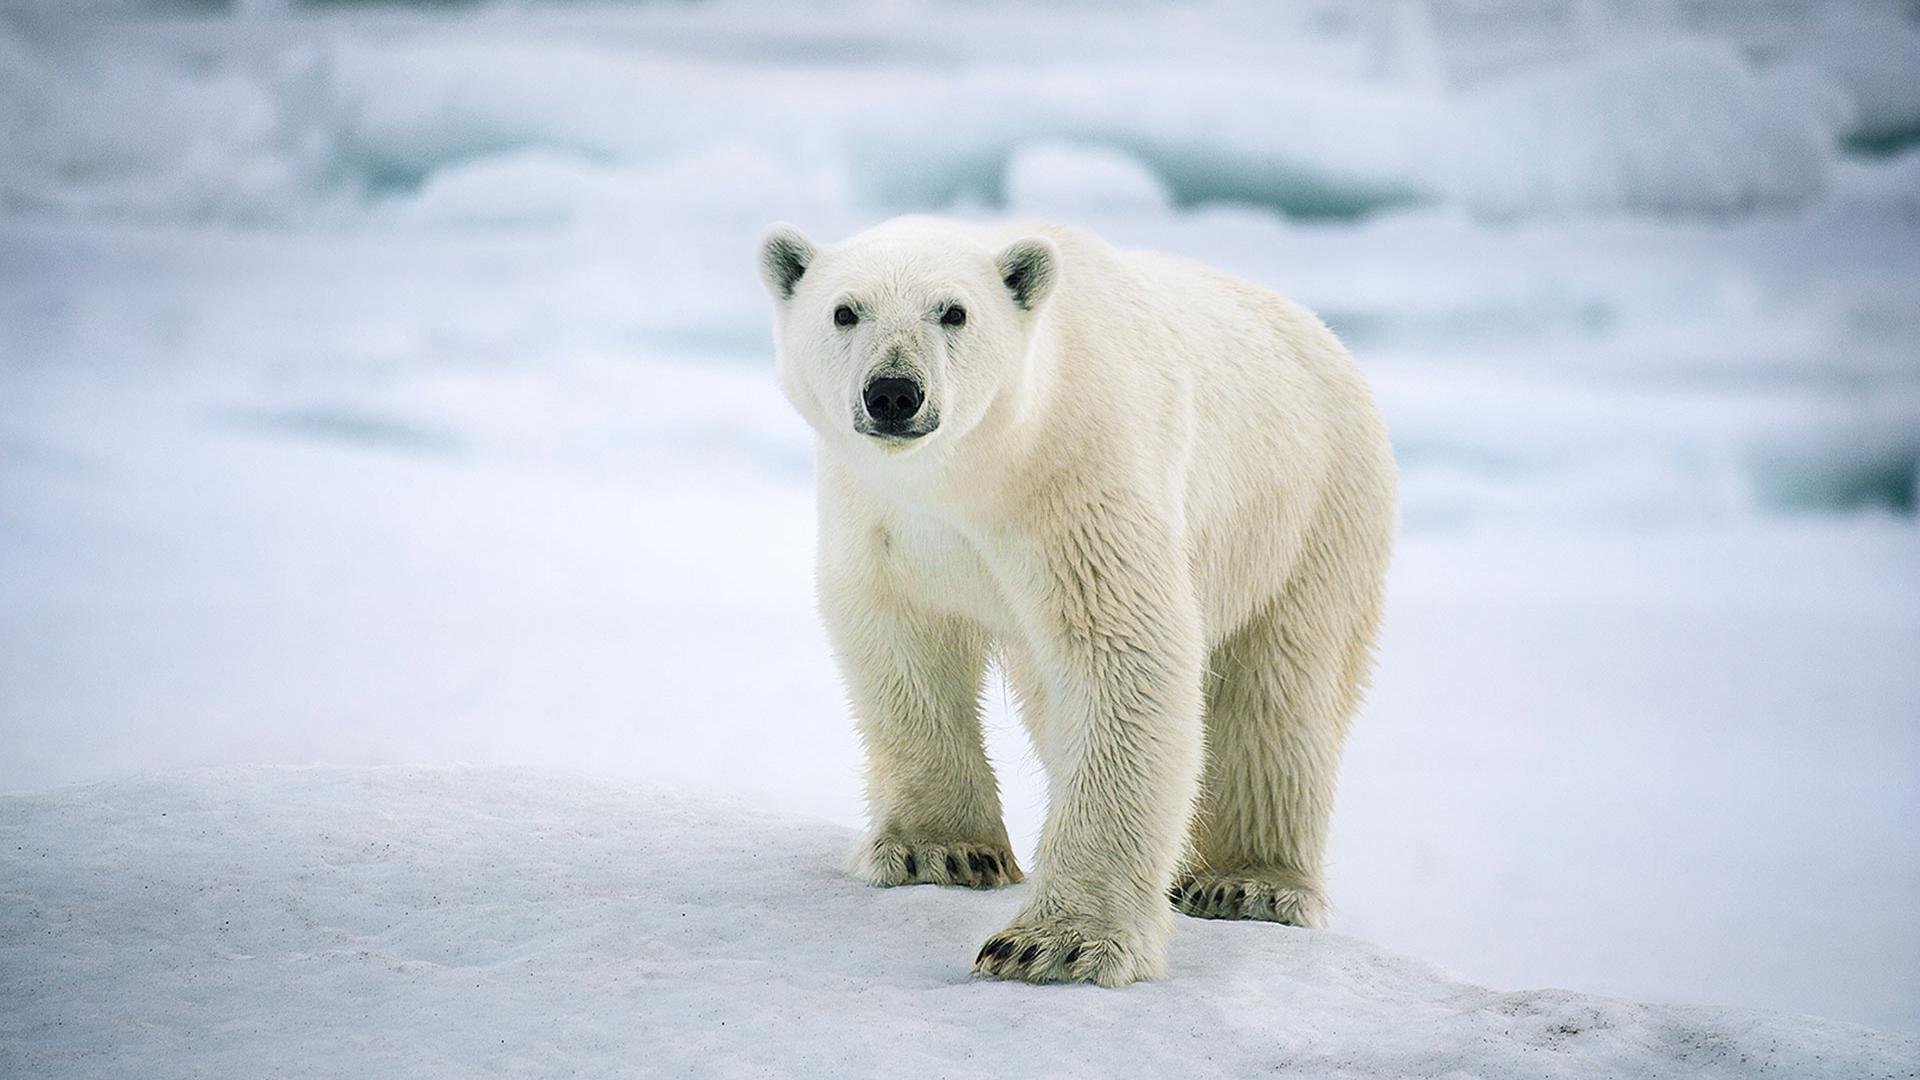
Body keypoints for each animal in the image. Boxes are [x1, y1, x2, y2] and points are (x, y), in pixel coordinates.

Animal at [752, 216, 1397, 983]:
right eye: (845, 311)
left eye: (954, 311)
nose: (894, 393)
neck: (977, 471)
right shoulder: (884, 517)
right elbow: (900, 641)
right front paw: (940, 850)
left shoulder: (1081, 477)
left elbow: (1124, 655)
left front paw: (1056, 942)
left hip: (1309, 511)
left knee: (1279, 692)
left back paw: (1247, 883)